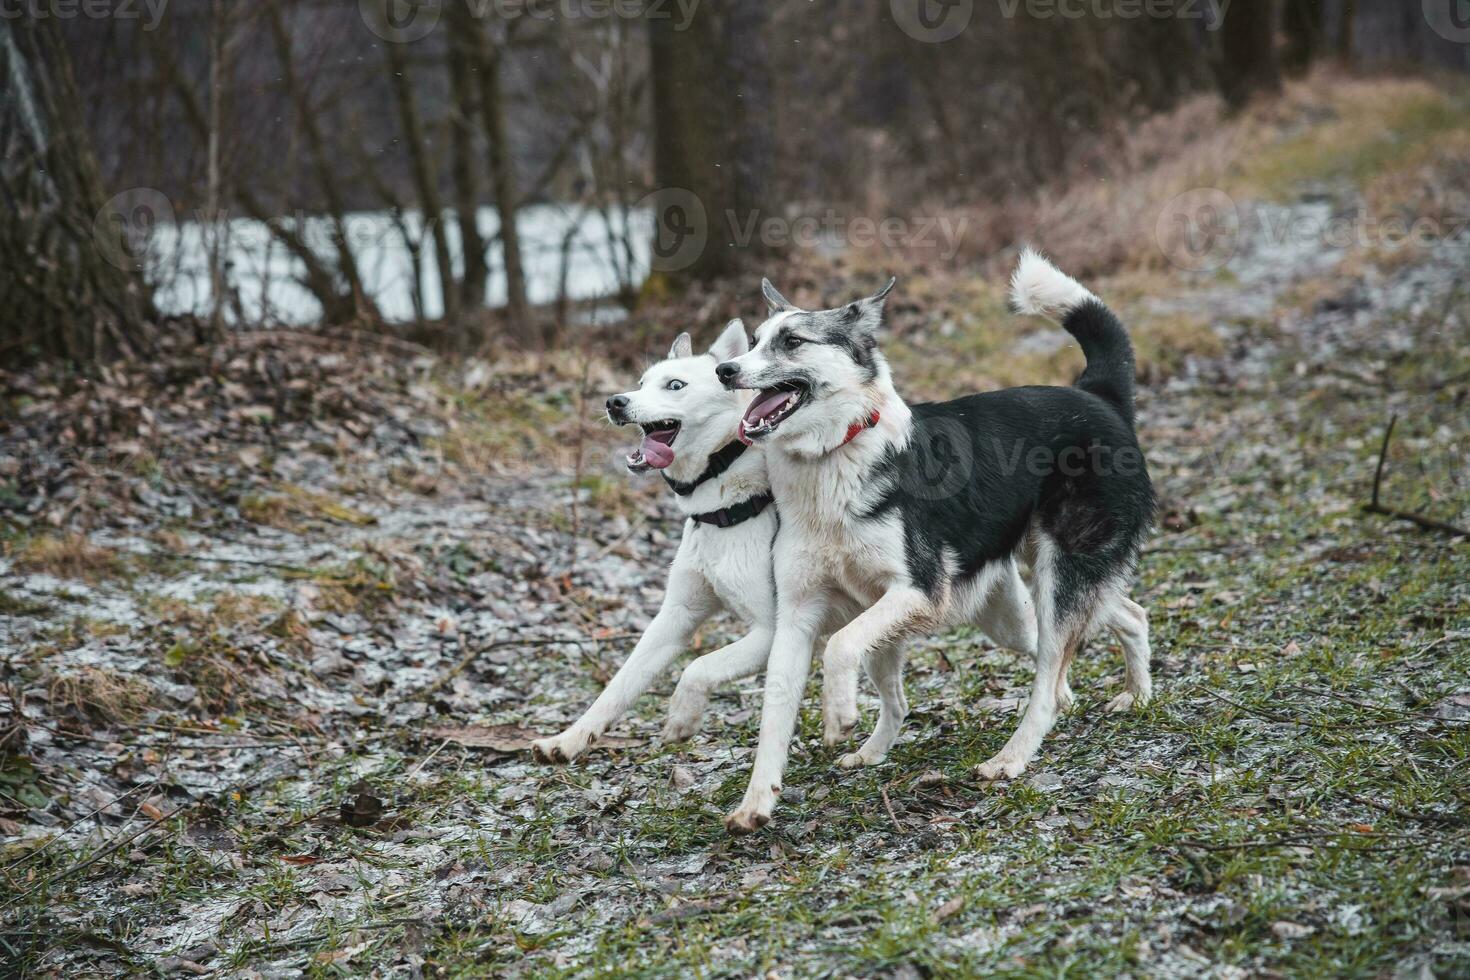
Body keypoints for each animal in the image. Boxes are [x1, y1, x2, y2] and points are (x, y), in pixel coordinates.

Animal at [717, 249, 1152, 834]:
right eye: (756, 339)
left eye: (792, 341)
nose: (724, 371)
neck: (835, 455)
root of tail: (1096, 394)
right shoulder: (798, 614)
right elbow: (775, 715)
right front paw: (756, 802)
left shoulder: (920, 589)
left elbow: (840, 646)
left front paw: (838, 713)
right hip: (1013, 610)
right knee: (1124, 616)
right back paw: (1137, 696)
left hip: (1057, 579)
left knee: (1051, 679)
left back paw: (1010, 758)